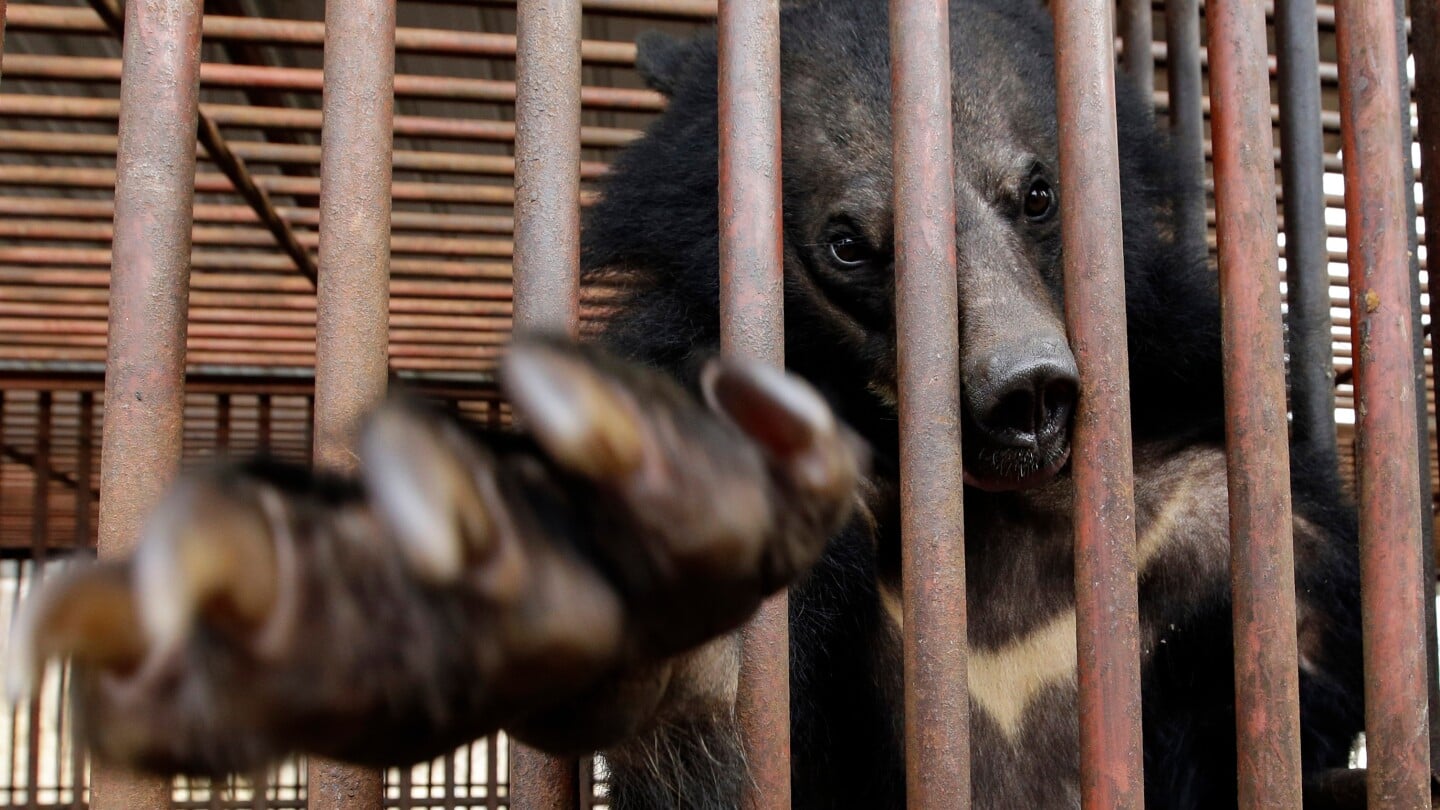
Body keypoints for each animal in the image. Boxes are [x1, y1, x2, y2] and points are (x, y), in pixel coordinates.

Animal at [7, 0, 1366, 807]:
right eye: (848, 245)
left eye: (1038, 192)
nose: (1025, 396)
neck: (981, 516)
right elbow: (707, 699)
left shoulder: (1204, 500)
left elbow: (1294, 672)